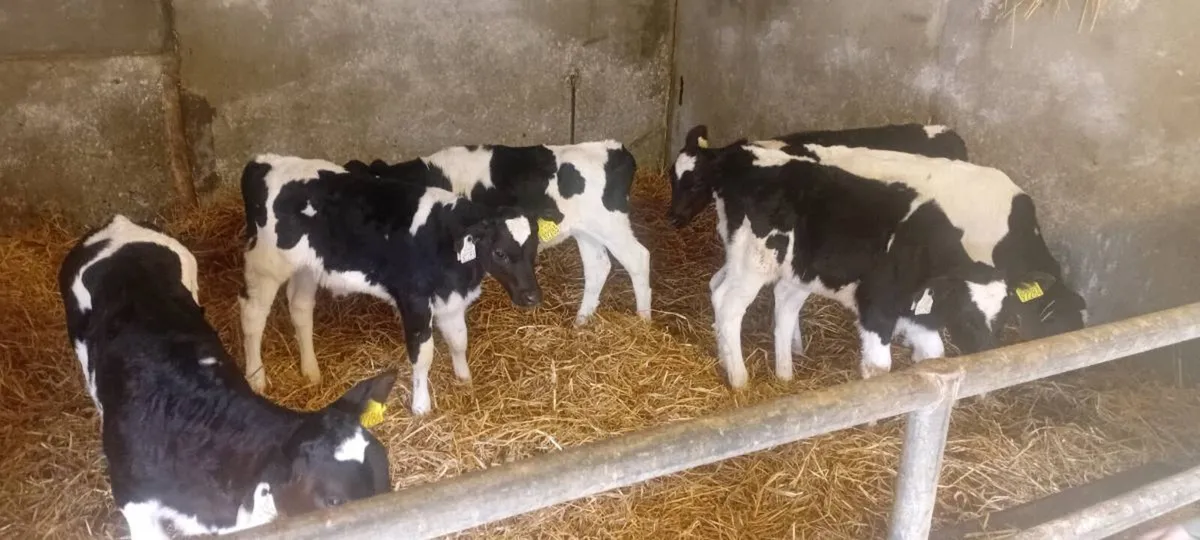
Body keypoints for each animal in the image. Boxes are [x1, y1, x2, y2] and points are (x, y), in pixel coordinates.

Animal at [240, 154, 543, 415]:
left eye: (533, 248)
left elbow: (459, 340)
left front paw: (464, 379)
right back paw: (256, 378)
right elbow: (423, 354)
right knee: (252, 315)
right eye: (499, 252)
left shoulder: (450, 298)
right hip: (266, 265)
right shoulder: (414, 300)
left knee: (300, 308)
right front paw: (421, 406)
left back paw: (311, 371)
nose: (532, 296)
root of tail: (264, 161)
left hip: (307, 267)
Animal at [345, 139, 651, 326]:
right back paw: (581, 322)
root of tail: (612, 149)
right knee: (598, 266)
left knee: (638, 258)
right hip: (587, 230)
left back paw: (643, 320)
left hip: (611, 224)